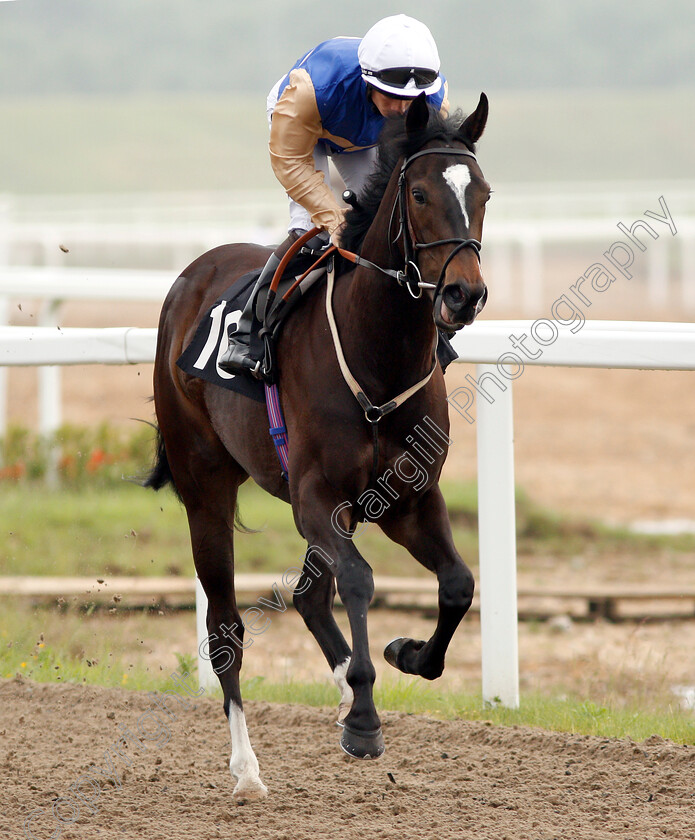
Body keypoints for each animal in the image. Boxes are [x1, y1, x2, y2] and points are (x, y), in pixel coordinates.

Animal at [147, 92, 492, 800]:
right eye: (418, 193)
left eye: (484, 194)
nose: (463, 293)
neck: (377, 358)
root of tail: (192, 275)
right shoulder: (316, 497)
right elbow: (357, 579)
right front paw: (363, 718)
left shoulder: (409, 499)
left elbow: (456, 584)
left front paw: (405, 654)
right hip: (205, 486)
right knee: (225, 629)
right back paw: (247, 768)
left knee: (309, 594)